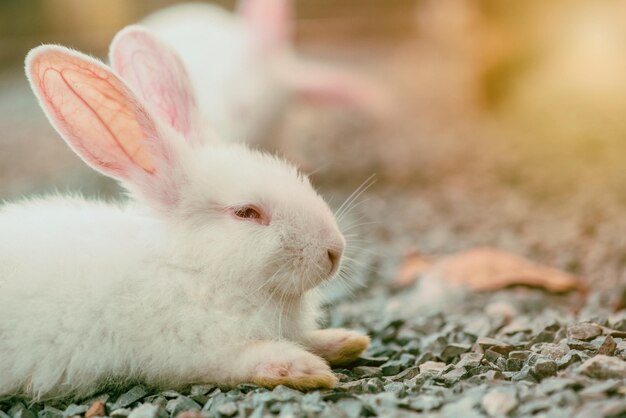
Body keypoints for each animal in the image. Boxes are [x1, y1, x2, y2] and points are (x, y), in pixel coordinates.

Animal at [0, 27, 368, 400]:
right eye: (246, 212)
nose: (335, 251)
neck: (192, 270)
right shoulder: (194, 351)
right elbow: (245, 359)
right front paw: (305, 369)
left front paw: (346, 341)